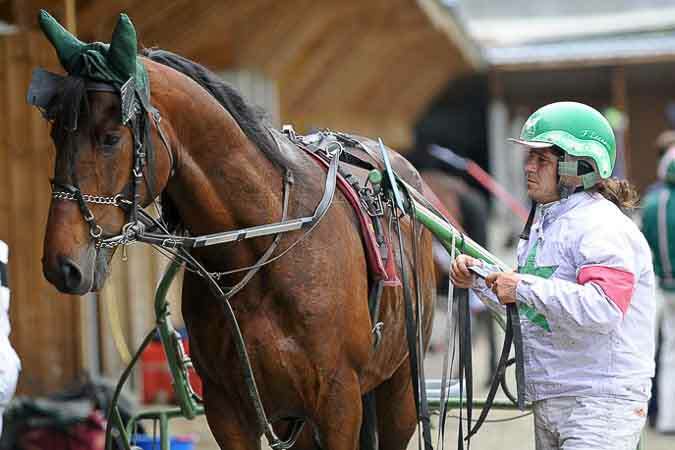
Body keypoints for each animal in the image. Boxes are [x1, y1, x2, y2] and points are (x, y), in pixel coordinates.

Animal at [38, 14, 438, 450]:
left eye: (110, 138)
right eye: (56, 134)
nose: (62, 263)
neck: (263, 248)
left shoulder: (339, 401)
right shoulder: (230, 407)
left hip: (399, 386)